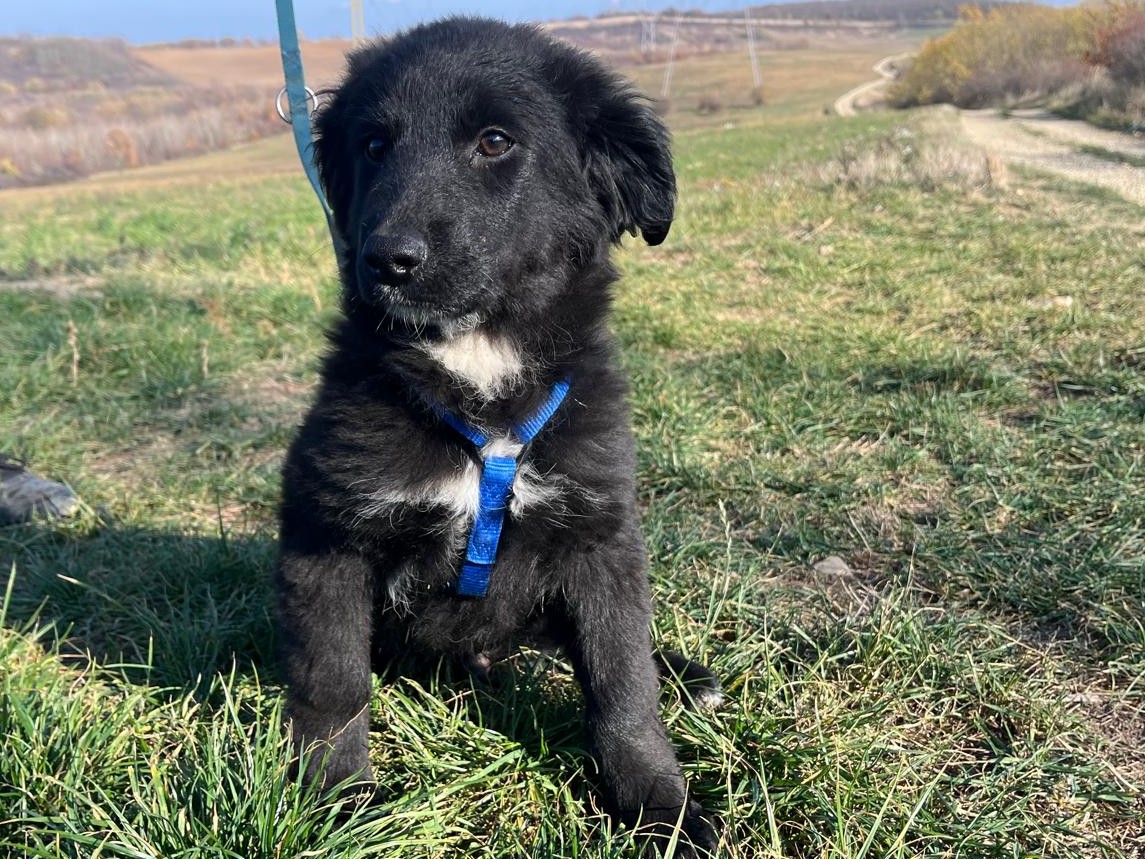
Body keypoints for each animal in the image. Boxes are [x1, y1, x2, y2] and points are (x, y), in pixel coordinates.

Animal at [275, 17, 720, 856]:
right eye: (374, 145)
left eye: (493, 141)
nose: (386, 260)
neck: (480, 380)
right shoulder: (330, 538)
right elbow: (333, 682)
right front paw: (335, 801)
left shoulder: (599, 535)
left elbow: (622, 680)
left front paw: (659, 804)